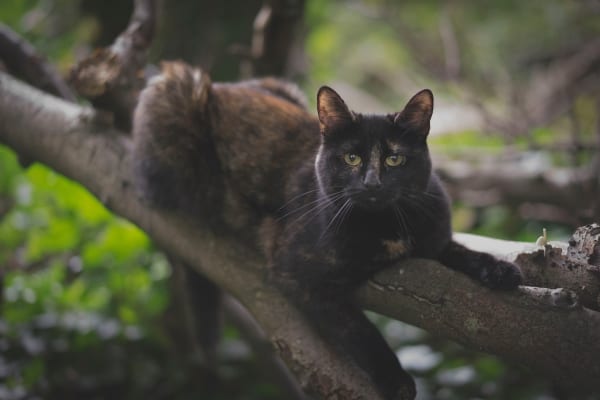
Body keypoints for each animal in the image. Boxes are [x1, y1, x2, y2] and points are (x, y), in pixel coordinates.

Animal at [131, 61, 520, 398]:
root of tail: (218, 86)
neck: (387, 223)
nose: (372, 183)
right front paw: (396, 380)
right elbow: (360, 331)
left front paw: (500, 270)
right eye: (352, 158)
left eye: (394, 158)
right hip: (176, 102)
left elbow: (461, 252)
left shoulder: (433, 240)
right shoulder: (298, 275)